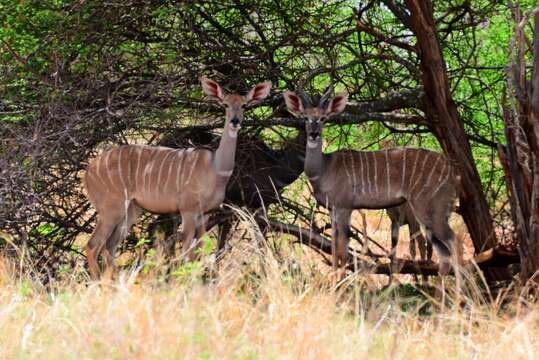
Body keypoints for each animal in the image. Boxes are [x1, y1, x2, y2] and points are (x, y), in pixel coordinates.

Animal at [84, 76, 272, 278]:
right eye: (225, 104)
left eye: (244, 105)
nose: (235, 121)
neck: (215, 169)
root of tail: (88, 171)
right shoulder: (188, 211)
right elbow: (187, 251)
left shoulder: (205, 214)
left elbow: (199, 250)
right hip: (111, 209)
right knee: (93, 245)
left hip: (131, 210)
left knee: (110, 246)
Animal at [282, 88, 460, 292]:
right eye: (305, 117)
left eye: (323, 118)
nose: (313, 134)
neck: (324, 169)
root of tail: (452, 171)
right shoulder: (333, 210)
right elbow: (335, 247)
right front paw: (335, 284)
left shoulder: (344, 207)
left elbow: (343, 248)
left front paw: (341, 286)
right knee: (445, 251)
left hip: (428, 209)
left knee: (454, 244)